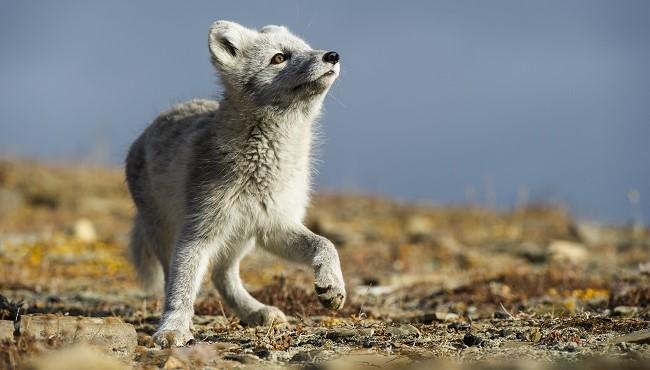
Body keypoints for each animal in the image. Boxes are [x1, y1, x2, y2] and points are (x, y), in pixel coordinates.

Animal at [123, 21, 344, 346]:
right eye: (279, 58)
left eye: (306, 48)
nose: (332, 55)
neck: (266, 166)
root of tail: (147, 130)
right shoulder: (197, 232)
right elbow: (180, 290)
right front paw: (173, 328)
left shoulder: (274, 226)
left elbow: (326, 243)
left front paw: (333, 286)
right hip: (170, 235)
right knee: (176, 280)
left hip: (242, 236)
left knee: (221, 276)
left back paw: (256, 311)